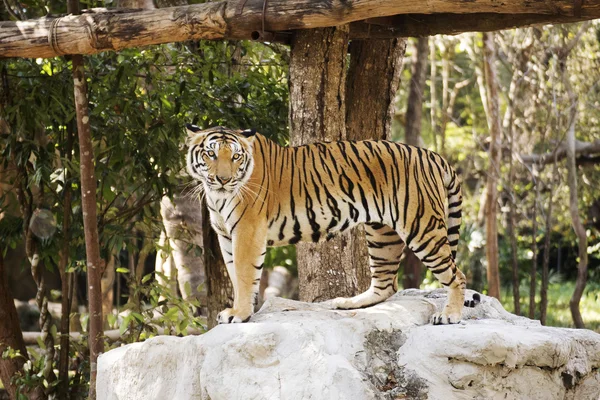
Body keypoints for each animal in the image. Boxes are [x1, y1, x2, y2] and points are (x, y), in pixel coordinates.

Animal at [185, 124, 472, 324]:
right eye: (210, 154)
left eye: (235, 157)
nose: (223, 179)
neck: (217, 196)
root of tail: (432, 155)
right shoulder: (225, 235)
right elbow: (234, 275)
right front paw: (237, 310)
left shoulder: (248, 231)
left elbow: (244, 275)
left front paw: (240, 314)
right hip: (382, 234)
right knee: (386, 284)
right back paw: (347, 303)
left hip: (422, 227)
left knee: (456, 275)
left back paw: (449, 316)